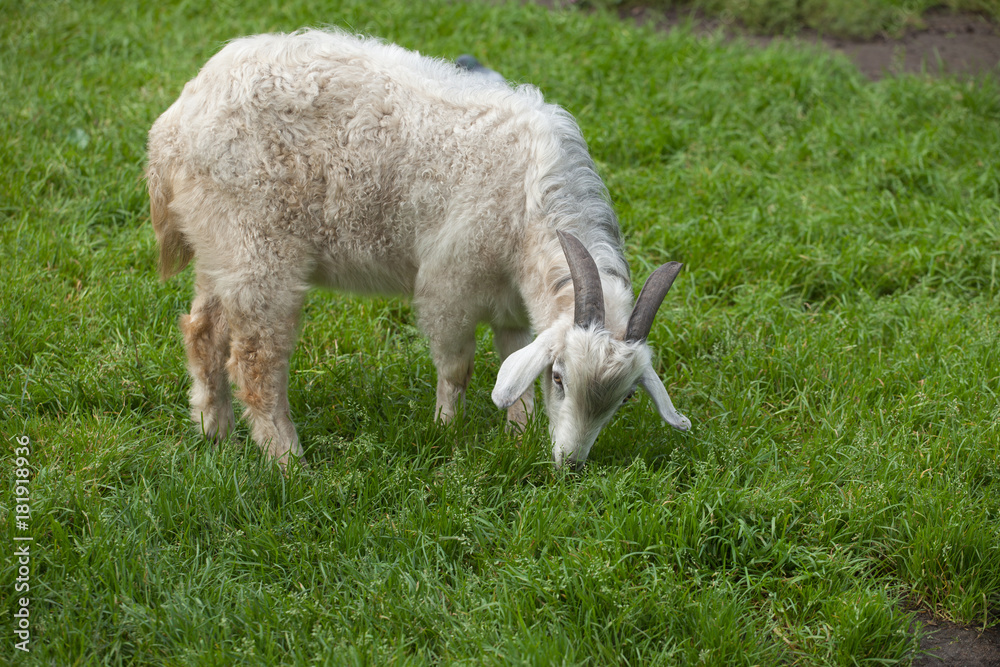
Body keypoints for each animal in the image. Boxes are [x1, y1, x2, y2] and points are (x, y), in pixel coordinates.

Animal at [146, 28, 690, 469]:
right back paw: (290, 462)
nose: (570, 464)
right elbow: (457, 367)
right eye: (560, 378)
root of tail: (173, 126)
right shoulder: (450, 282)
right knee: (256, 361)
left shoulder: (511, 304)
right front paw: (445, 429)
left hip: (218, 242)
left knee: (202, 329)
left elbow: (512, 361)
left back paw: (215, 433)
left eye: (625, 400)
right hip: (258, 248)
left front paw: (518, 433)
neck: (531, 200)